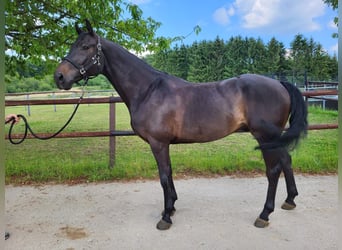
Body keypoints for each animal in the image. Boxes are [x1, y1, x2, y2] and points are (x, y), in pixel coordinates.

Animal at [54, 20, 308, 230]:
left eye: (86, 47)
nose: (59, 77)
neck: (148, 90)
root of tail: (280, 83)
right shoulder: (164, 144)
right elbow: (169, 174)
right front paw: (172, 207)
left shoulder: (158, 143)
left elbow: (164, 176)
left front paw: (166, 216)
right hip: (275, 138)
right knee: (287, 161)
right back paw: (290, 200)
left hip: (266, 137)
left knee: (273, 170)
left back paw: (264, 214)